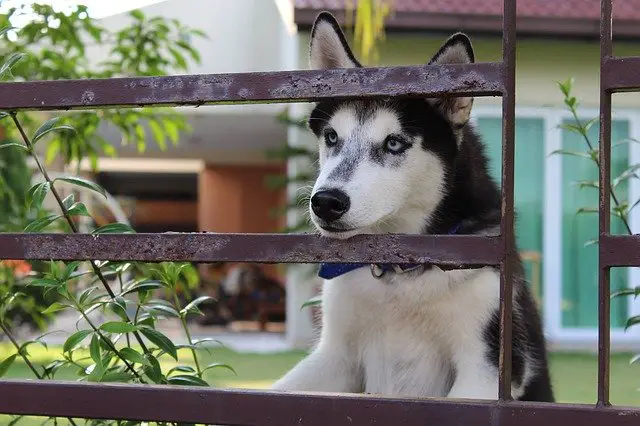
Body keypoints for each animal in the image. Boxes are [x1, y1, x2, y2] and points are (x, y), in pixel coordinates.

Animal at [272, 10, 552, 402]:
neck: (399, 272)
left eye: (394, 143)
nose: (326, 202)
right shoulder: (334, 358)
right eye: (331, 137)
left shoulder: (484, 368)